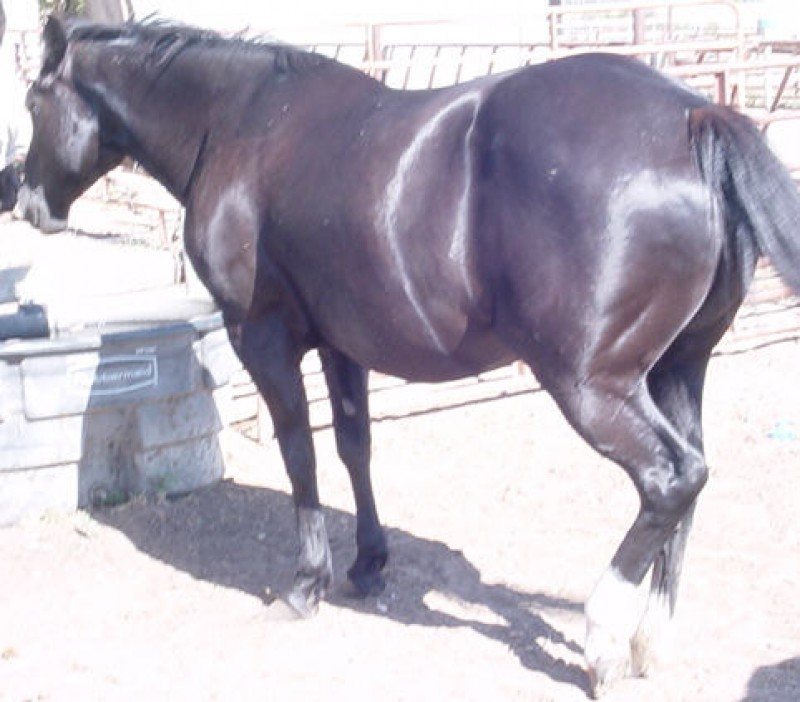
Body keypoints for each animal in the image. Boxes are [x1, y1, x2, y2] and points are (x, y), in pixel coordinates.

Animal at [19, 16, 800, 697]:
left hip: (593, 385)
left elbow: (299, 452)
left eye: (31, 100)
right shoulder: (342, 343)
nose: (23, 201)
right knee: (691, 483)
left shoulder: (262, 336)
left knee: (672, 478)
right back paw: (648, 639)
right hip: (677, 370)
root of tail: (692, 116)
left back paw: (604, 636)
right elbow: (353, 445)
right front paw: (369, 563)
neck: (241, 124)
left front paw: (307, 583)